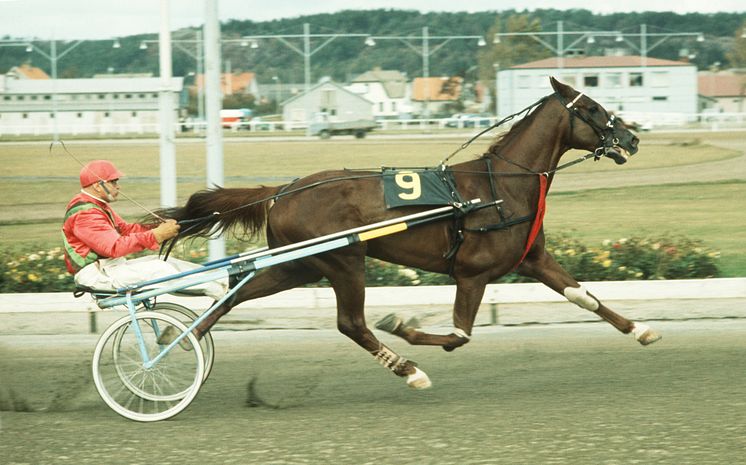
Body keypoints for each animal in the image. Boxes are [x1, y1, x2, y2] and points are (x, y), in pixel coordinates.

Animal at [161, 79, 656, 388]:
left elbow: (581, 296)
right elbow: (459, 335)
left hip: (300, 265)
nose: (632, 139)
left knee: (236, 293)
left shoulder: (532, 259)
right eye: (592, 109)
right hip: (343, 260)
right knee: (351, 324)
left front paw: (640, 330)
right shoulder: (472, 274)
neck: (498, 187)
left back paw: (179, 338)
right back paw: (408, 368)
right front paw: (403, 325)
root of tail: (282, 190)